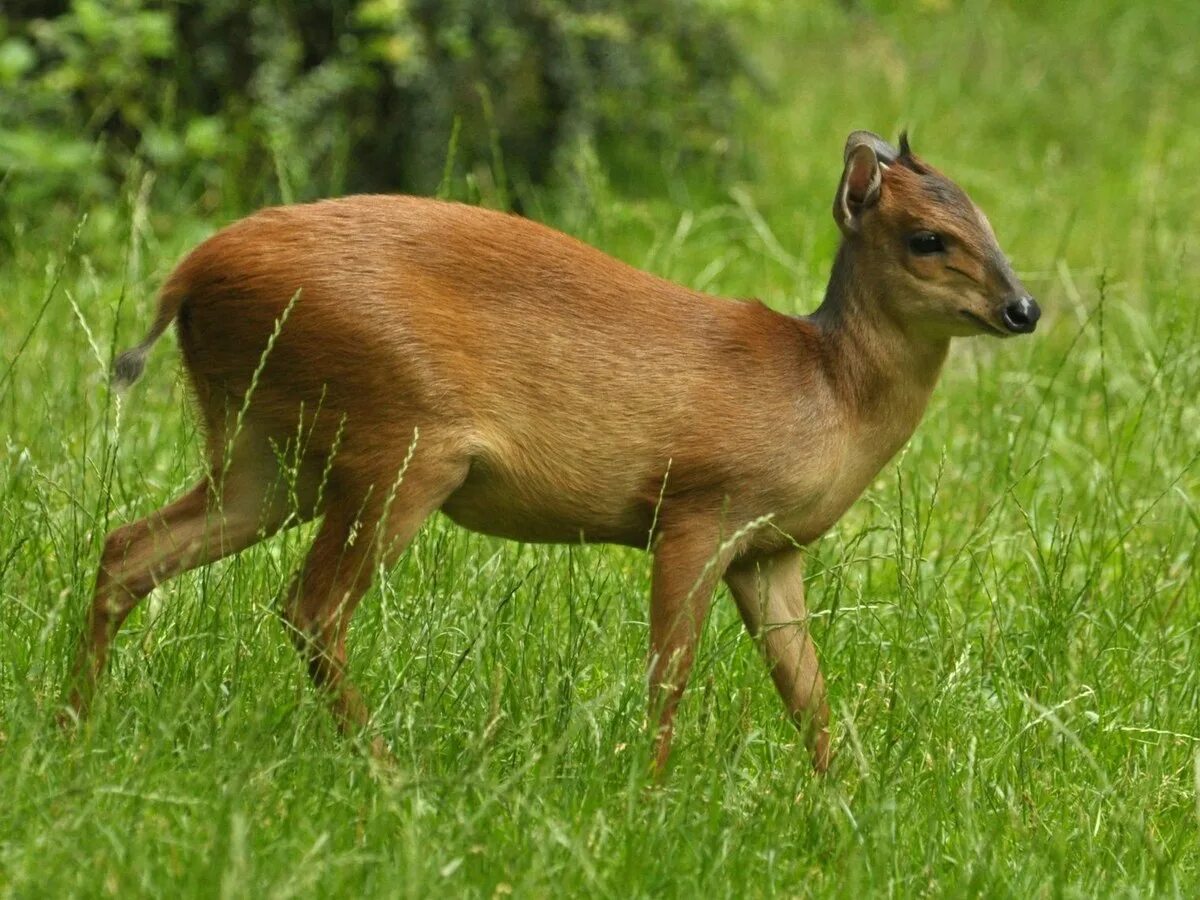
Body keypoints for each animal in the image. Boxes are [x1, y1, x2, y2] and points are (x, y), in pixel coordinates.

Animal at [63, 132, 1041, 777]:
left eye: (989, 221)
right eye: (928, 239)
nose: (1023, 307)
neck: (822, 388)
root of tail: (188, 277)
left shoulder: (770, 551)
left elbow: (808, 690)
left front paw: (842, 795)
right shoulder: (696, 508)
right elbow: (669, 674)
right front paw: (652, 795)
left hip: (268, 451)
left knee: (130, 547)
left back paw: (71, 724)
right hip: (399, 442)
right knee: (308, 607)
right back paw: (392, 771)